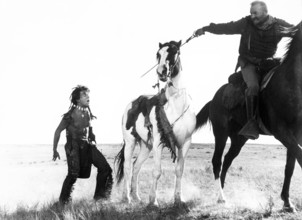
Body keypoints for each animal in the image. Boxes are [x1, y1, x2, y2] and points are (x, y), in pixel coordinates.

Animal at [115, 40, 196, 205]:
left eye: (174, 51)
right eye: (158, 54)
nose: (161, 72)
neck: (176, 105)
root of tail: (131, 104)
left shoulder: (185, 143)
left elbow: (179, 170)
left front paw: (178, 199)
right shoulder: (159, 141)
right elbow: (157, 171)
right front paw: (153, 201)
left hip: (146, 145)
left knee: (136, 166)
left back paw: (136, 197)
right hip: (130, 141)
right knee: (127, 166)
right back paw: (127, 197)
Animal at [196, 21, 302, 212]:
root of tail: (215, 98)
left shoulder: (295, 134)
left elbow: (290, 166)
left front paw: (287, 202)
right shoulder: (282, 133)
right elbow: (300, 157)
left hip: (239, 138)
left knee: (227, 160)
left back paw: (222, 194)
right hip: (221, 133)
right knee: (217, 162)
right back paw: (221, 197)